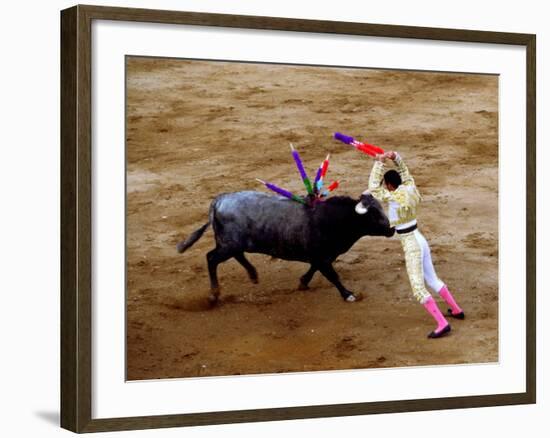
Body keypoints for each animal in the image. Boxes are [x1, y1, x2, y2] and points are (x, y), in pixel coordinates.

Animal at [175, 192, 394, 304]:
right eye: (374, 214)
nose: (392, 229)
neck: (335, 219)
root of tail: (218, 201)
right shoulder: (323, 257)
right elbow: (333, 276)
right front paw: (348, 294)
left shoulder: (321, 257)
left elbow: (314, 269)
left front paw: (303, 282)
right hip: (228, 244)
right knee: (211, 258)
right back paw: (214, 294)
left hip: (231, 243)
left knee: (236, 255)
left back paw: (253, 275)